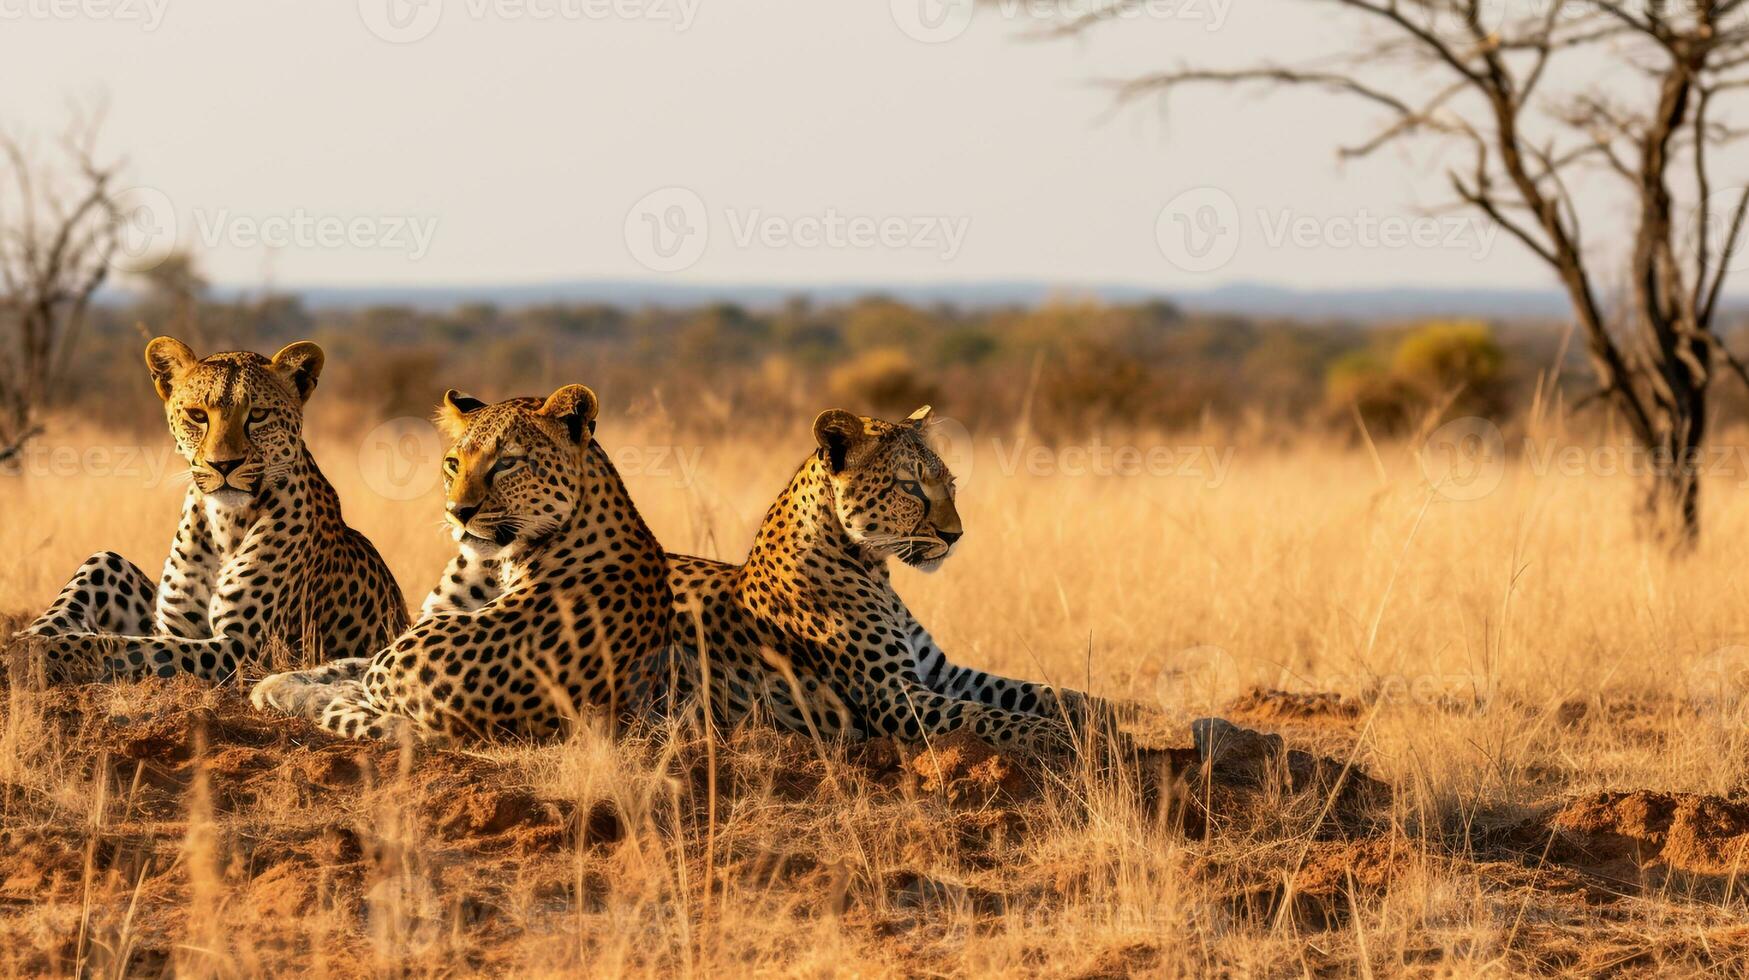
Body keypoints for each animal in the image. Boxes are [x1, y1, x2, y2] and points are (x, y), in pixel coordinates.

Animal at [13, 336, 409, 682]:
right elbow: (126, 625)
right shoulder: (172, 626)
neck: (224, 524)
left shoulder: (243, 648)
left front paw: (51, 651)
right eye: (197, 414)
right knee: (103, 558)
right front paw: (31, 639)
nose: (224, 464)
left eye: (258, 414)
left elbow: (132, 647)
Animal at [250, 386, 671, 738]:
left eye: (507, 463)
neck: (499, 565)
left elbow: (363, 687)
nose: (458, 511)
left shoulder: (412, 676)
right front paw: (280, 683)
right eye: (453, 463)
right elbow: (351, 664)